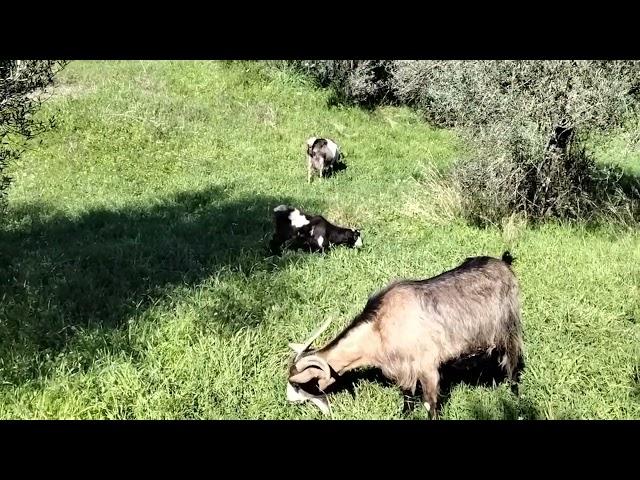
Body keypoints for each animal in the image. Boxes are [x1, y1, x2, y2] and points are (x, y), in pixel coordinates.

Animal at [288, 253, 524, 418]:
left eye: (298, 385)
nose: (289, 401)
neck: (380, 327)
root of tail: (504, 263)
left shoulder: (427, 365)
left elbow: (430, 405)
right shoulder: (403, 368)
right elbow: (408, 397)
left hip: (509, 327)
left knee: (512, 362)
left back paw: (515, 397)